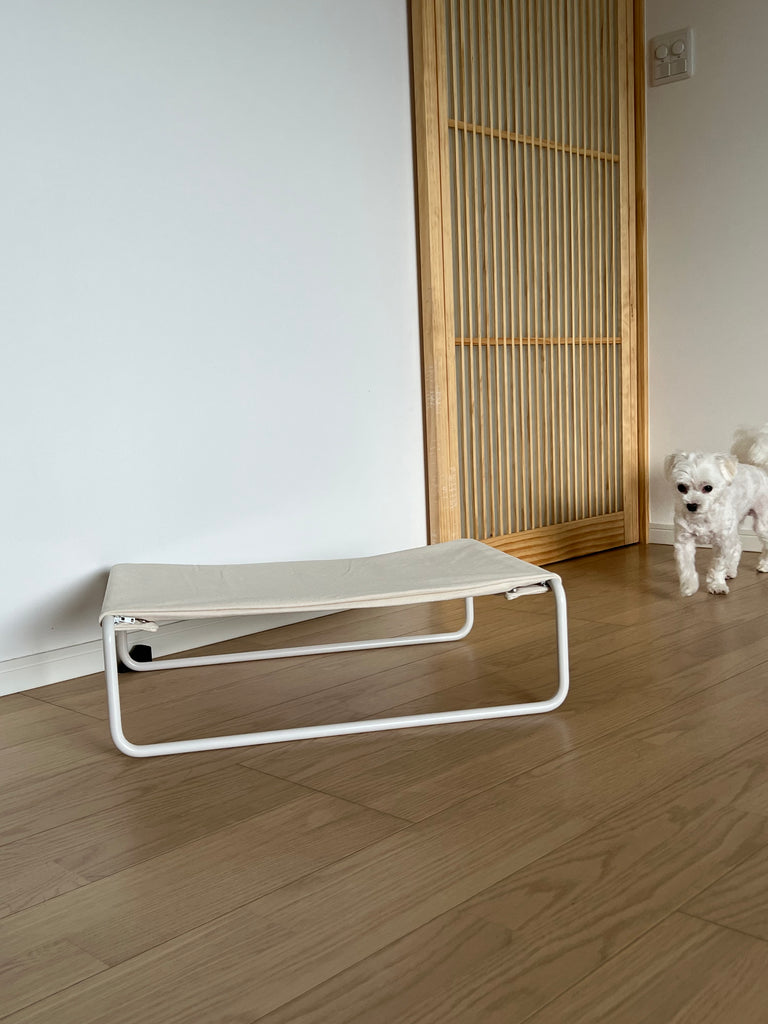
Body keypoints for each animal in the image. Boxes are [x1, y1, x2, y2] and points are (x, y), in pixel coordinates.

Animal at [665, 424, 768, 596]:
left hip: (762, 523)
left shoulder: (722, 541)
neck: (703, 516)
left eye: (708, 488)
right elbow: (686, 567)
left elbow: (717, 566)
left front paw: (717, 585)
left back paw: (764, 565)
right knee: (737, 545)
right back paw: (731, 570)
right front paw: (689, 586)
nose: (692, 505)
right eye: (681, 487)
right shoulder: (684, 541)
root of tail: (760, 469)